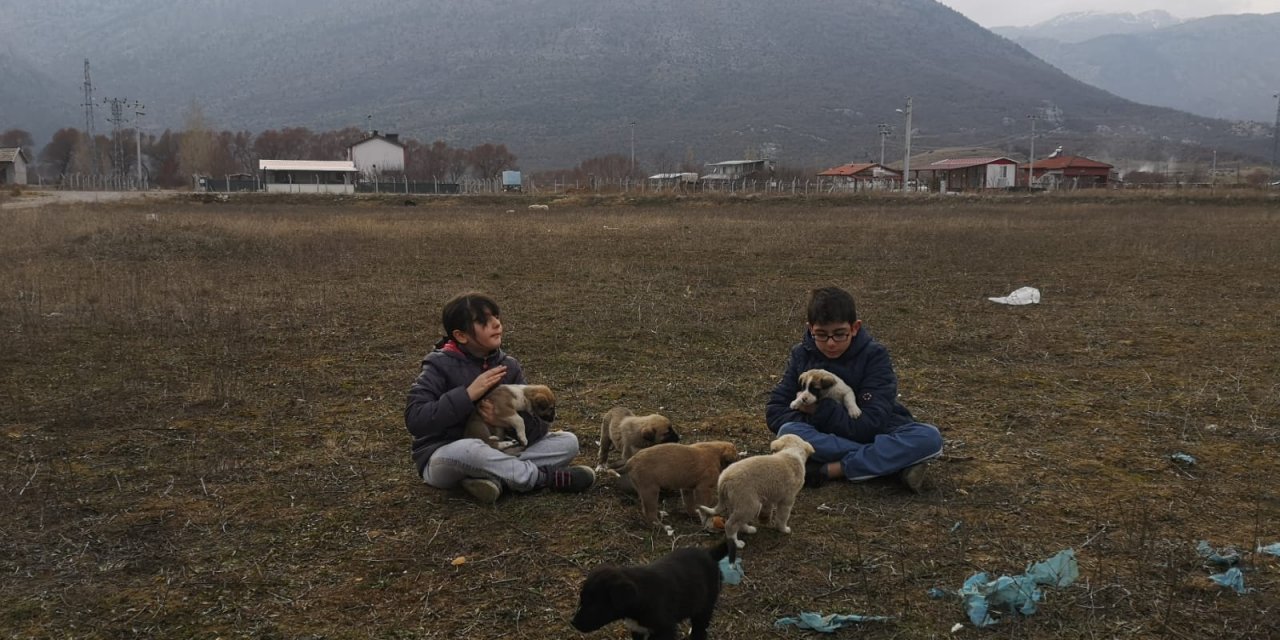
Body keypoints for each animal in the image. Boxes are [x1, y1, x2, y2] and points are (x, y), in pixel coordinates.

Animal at [570, 540, 732, 640]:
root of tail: (709, 553)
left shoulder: (665, 629)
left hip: (705, 605)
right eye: (581, 601)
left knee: (700, 629)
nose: (573, 623)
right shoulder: (638, 630)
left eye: (595, 605)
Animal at [696, 432, 814, 563]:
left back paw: (749, 529)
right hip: (750, 505)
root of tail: (724, 478)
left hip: (738, 503)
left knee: (738, 522)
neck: (791, 451)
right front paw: (783, 529)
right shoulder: (787, 501)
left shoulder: (770, 497)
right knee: (730, 525)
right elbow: (782, 518)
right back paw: (737, 543)